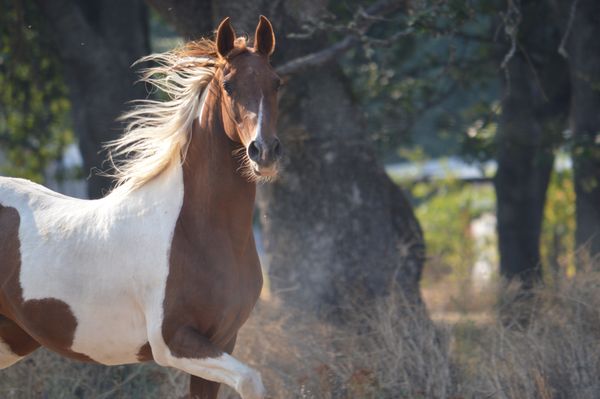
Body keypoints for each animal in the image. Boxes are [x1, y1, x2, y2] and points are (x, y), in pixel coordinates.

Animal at [0, 15, 278, 399]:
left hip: (11, 339)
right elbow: (251, 379)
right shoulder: (173, 342)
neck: (194, 232)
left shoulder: (223, 339)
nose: (264, 152)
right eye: (229, 85)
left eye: (276, 83)